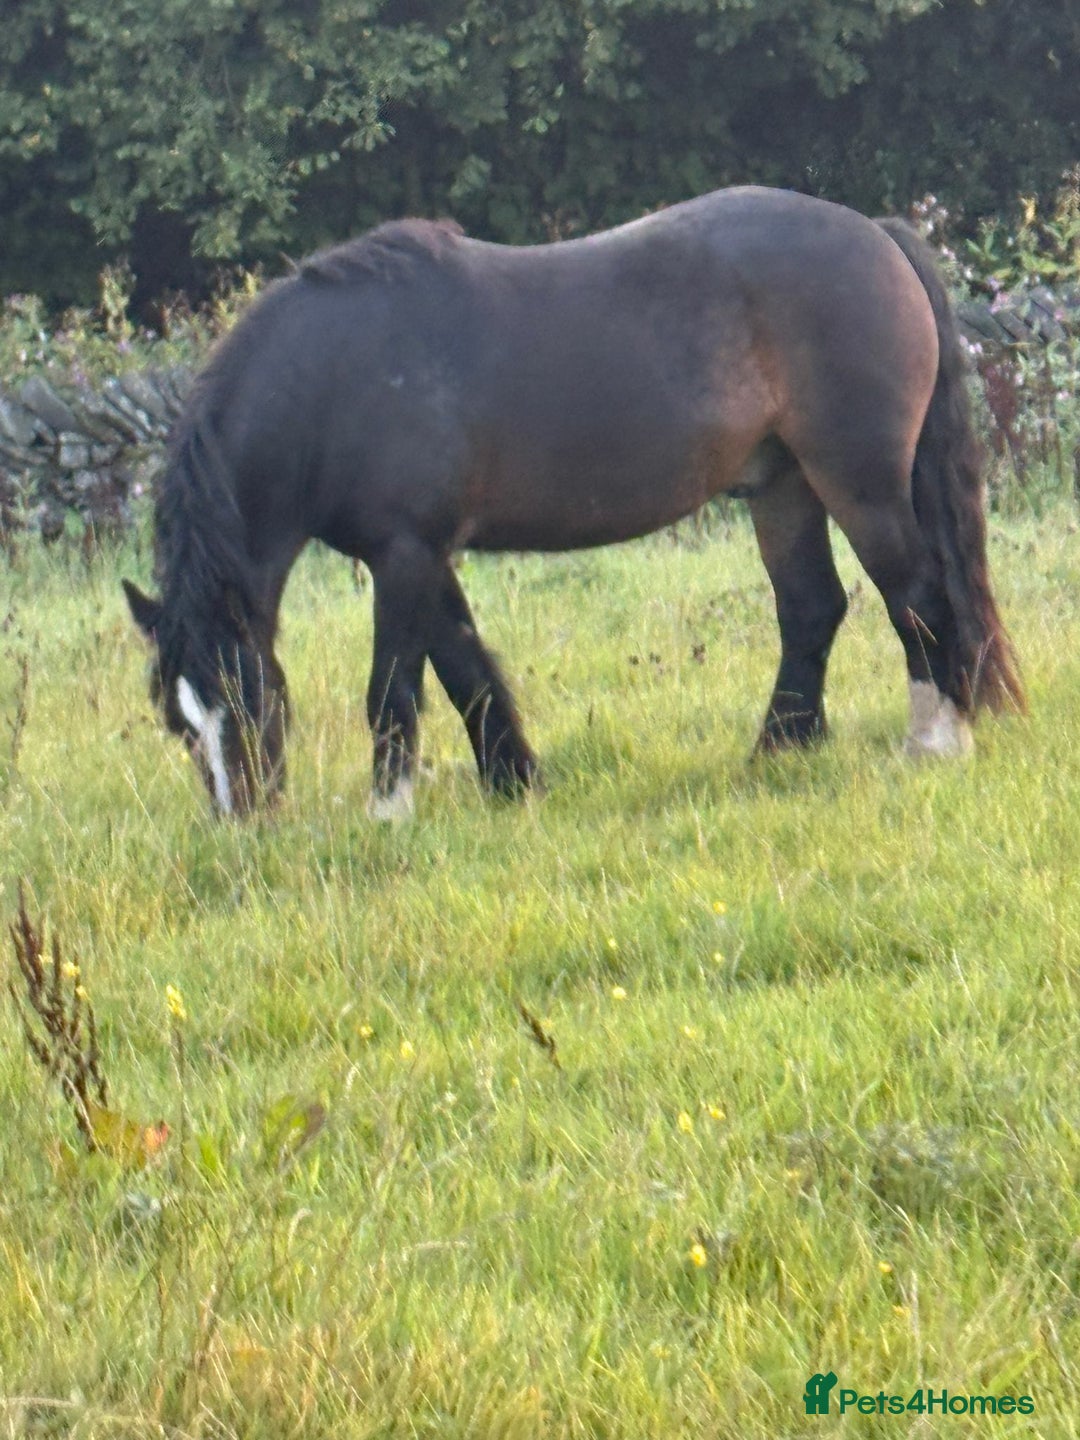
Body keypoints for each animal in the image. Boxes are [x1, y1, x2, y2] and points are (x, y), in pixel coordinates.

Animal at [123, 185, 1024, 818]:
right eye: (180, 723)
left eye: (245, 699)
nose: (244, 825)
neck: (337, 377)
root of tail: (877, 235)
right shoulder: (425, 555)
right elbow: (466, 666)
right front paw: (514, 782)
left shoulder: (404, 553)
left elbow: (394, 688)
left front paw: (390, 812)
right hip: (782, 486)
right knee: (813, 608)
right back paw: (777, 753)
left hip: (857, 480)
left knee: (917, 596)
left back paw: (935, 741)